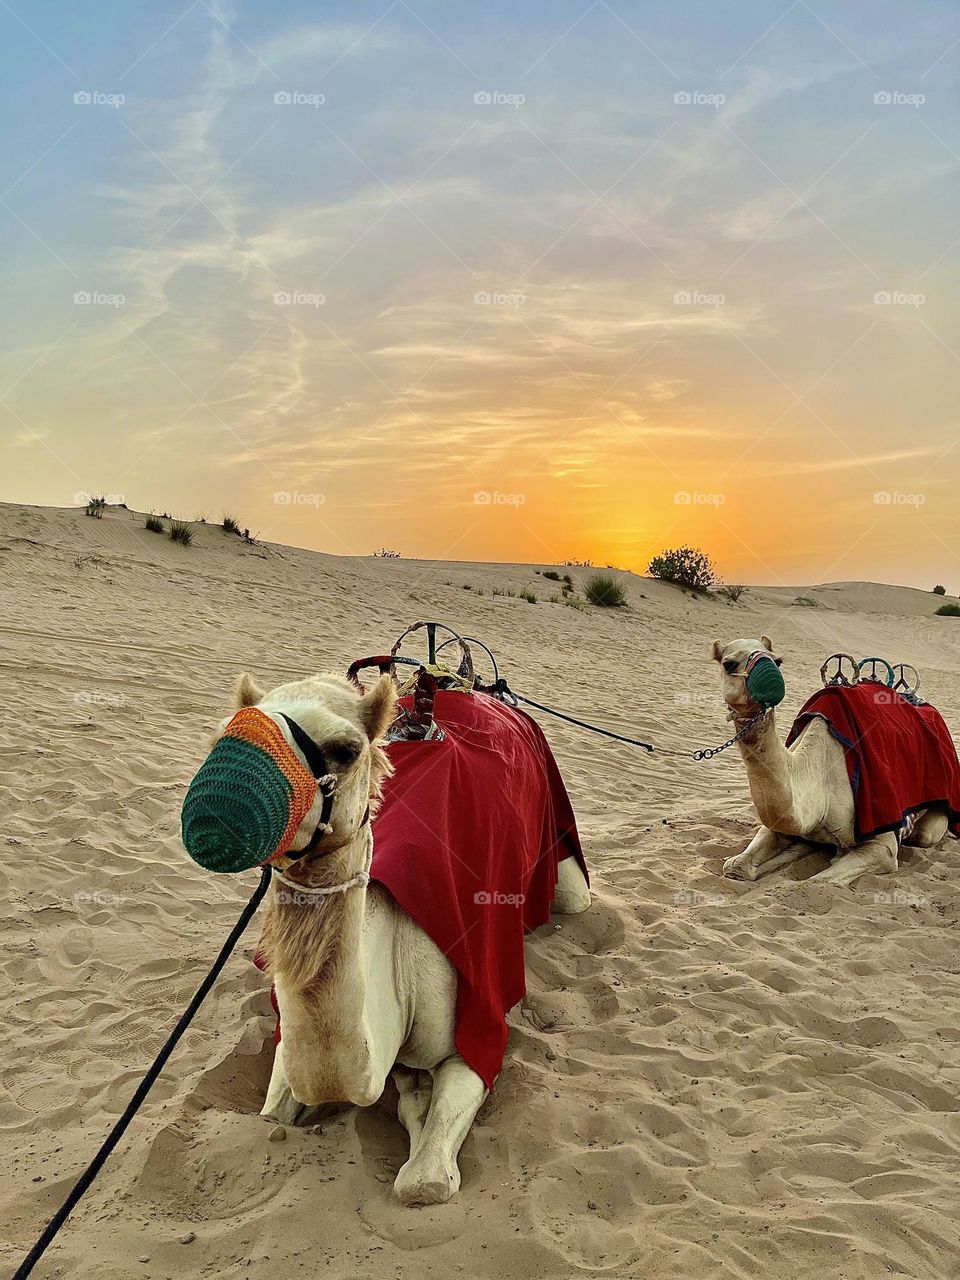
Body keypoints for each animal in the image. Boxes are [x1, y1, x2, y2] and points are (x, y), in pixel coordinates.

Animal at [716, 634, 960, 885]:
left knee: (923, 835)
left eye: (778, 661)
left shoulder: (882, 843)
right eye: (728, 664)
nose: (771, 681)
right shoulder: (780, 823)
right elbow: (735, 866)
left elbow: (818, 881)